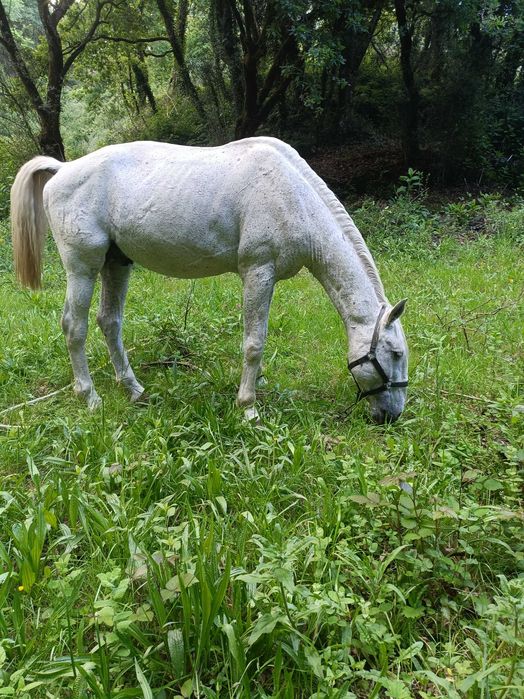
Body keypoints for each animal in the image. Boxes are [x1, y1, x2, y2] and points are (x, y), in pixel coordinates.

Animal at [10, 137, 408, 423]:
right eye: (396, 353)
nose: (391, 416)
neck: (291, 196)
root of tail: (63, 168)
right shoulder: (258, 272)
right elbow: (254, 343)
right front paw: (248, 407)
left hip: (116, 264)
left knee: (109, 322)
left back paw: (134, 389)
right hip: (83, 267)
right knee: (74, 327)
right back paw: (90, 397)